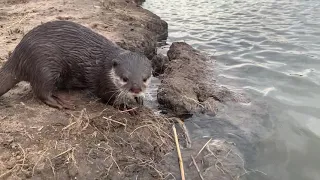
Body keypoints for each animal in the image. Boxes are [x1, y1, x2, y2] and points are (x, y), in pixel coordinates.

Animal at [0, 19, 152, 109]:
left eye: (145, 79)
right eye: (125, 78)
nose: (136, 89)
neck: (106, 65)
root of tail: (19, 52)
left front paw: (140, 98)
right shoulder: (103, 81)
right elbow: (108, 98)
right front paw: (127, 107)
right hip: (44, 65)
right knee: (41, 91)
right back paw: (61, 103)